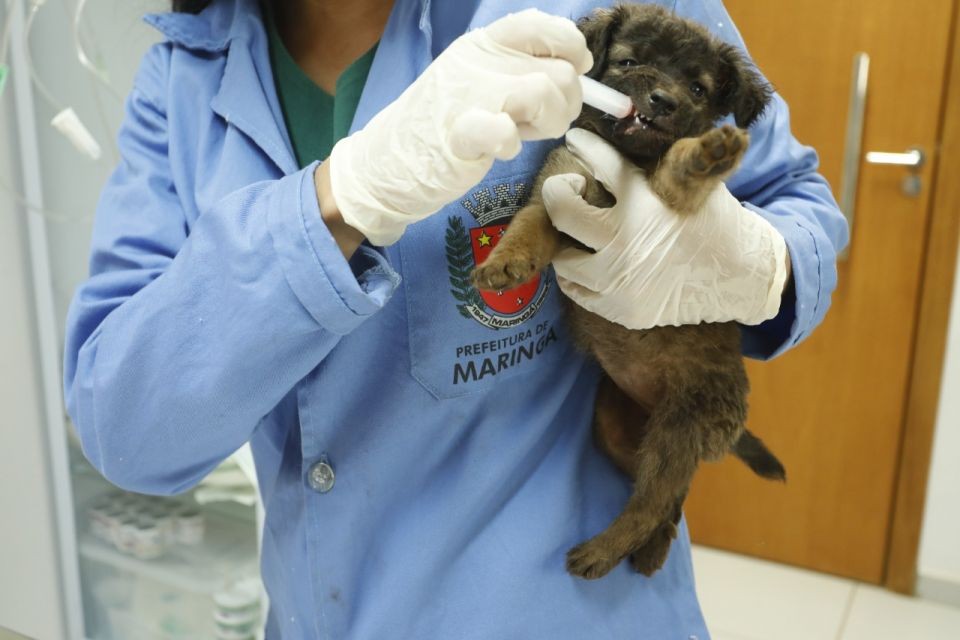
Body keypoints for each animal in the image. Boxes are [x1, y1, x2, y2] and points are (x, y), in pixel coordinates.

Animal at [472, 1, 788, 580]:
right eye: (628, 62)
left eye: (698, 88)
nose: (662, 100)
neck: (627, 157)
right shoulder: (559, 191)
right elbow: (527, 227)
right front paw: (506, 262)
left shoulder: (667, 196)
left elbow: (680, 170)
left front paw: (705, 154)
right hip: (617, 431)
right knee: (667, 500)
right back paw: (650, 547)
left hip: (676, 433)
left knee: (650, 502)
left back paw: (603, 551)